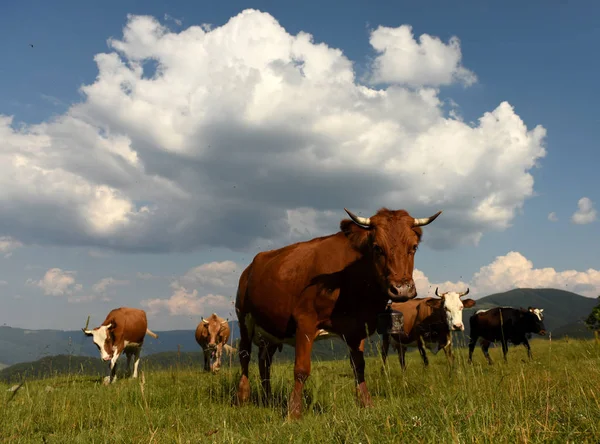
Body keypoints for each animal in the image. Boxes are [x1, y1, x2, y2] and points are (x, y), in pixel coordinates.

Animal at [234, 206, 440, 418]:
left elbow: (358, 366)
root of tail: (251, 266)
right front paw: (294, 412)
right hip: (244, 318)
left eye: (413, 247)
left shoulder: (357, 328)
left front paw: (366, 404)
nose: (402, 289)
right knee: (245, 355)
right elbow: (301, 369)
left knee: (264, 361)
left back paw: (266, 398)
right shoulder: (305, 321)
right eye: (377, 247)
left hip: (272, 330)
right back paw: (242, 397)